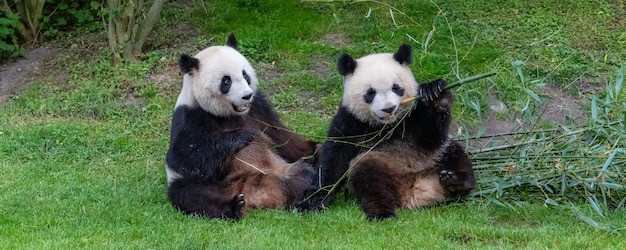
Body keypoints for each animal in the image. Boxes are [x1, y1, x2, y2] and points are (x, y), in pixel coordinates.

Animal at [166, 34, 316, 220]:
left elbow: (283, 137)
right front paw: (244, 136)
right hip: (212, 184)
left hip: (285, 171)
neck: (228, 113)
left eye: (245, 75)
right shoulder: (191, 116)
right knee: (189, 193)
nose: (247, 95)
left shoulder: (258, 108)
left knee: (305, 176)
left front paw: (314, 149)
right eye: (226, 81)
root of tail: (255, 197)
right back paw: (233, 207)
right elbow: (183, 155)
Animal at [300, 44, 476, 220]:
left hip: (435, 157)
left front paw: (436, 95)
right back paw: (382, 213)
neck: (387, 125)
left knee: (456, 155)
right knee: (370, 179)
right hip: (381, 165)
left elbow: (432, 137)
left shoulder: (414, 115)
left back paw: (455, 180)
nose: (389, 108)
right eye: (370, 92)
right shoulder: (350, 121)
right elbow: (335, 157)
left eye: (396, 88)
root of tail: (415, 191)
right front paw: (314, 201)